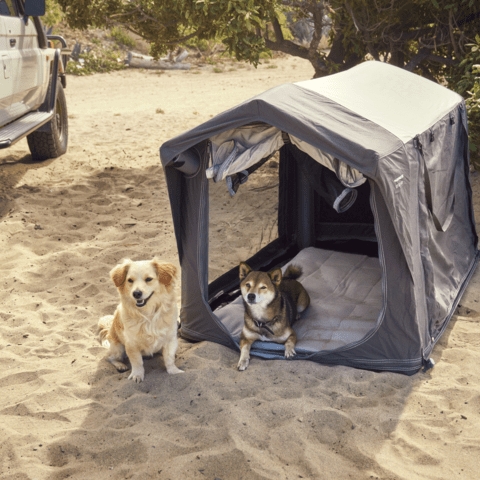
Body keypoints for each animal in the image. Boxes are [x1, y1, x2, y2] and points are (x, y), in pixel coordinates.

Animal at [96, 256, 183, 384]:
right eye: (130, 280)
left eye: (149, 279)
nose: (136, 293)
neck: (148, 314)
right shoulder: (131, 345)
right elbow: (137, 362)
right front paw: (137, 375)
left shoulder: (170, 339)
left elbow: (169, 358)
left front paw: (174, 371)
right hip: (118, 349)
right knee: (110, 358)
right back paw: (120, 365)